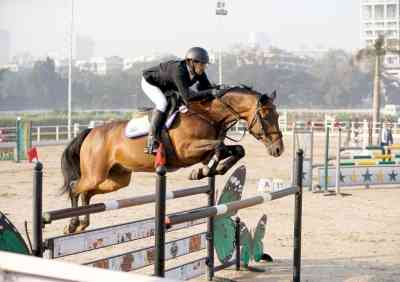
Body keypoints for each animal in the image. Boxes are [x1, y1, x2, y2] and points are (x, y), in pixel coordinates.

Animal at [60, 87, 284, 232]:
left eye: (278, 115)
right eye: (266, 116)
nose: (278, 149)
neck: (208, 115)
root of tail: (91, 132)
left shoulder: (205, 151)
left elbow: (237, 150)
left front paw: (208, 170)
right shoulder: (187, 150)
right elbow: (220, 147)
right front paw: (202, 171)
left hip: (116, 180)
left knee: (86, 193)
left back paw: (82, 223)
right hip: (95, 174)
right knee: (75, 188)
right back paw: (72, 224)